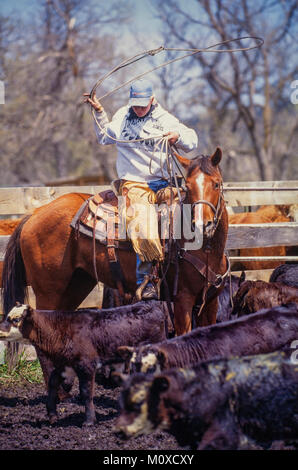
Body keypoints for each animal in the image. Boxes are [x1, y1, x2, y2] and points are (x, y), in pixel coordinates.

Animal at [1, 149, 228, 388]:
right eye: (189, 187)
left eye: (216, 184)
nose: (202, 225)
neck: (204, 250)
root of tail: (34, 214)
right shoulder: (183, 300)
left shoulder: (210, 301)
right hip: (49, 291)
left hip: (76, 286)